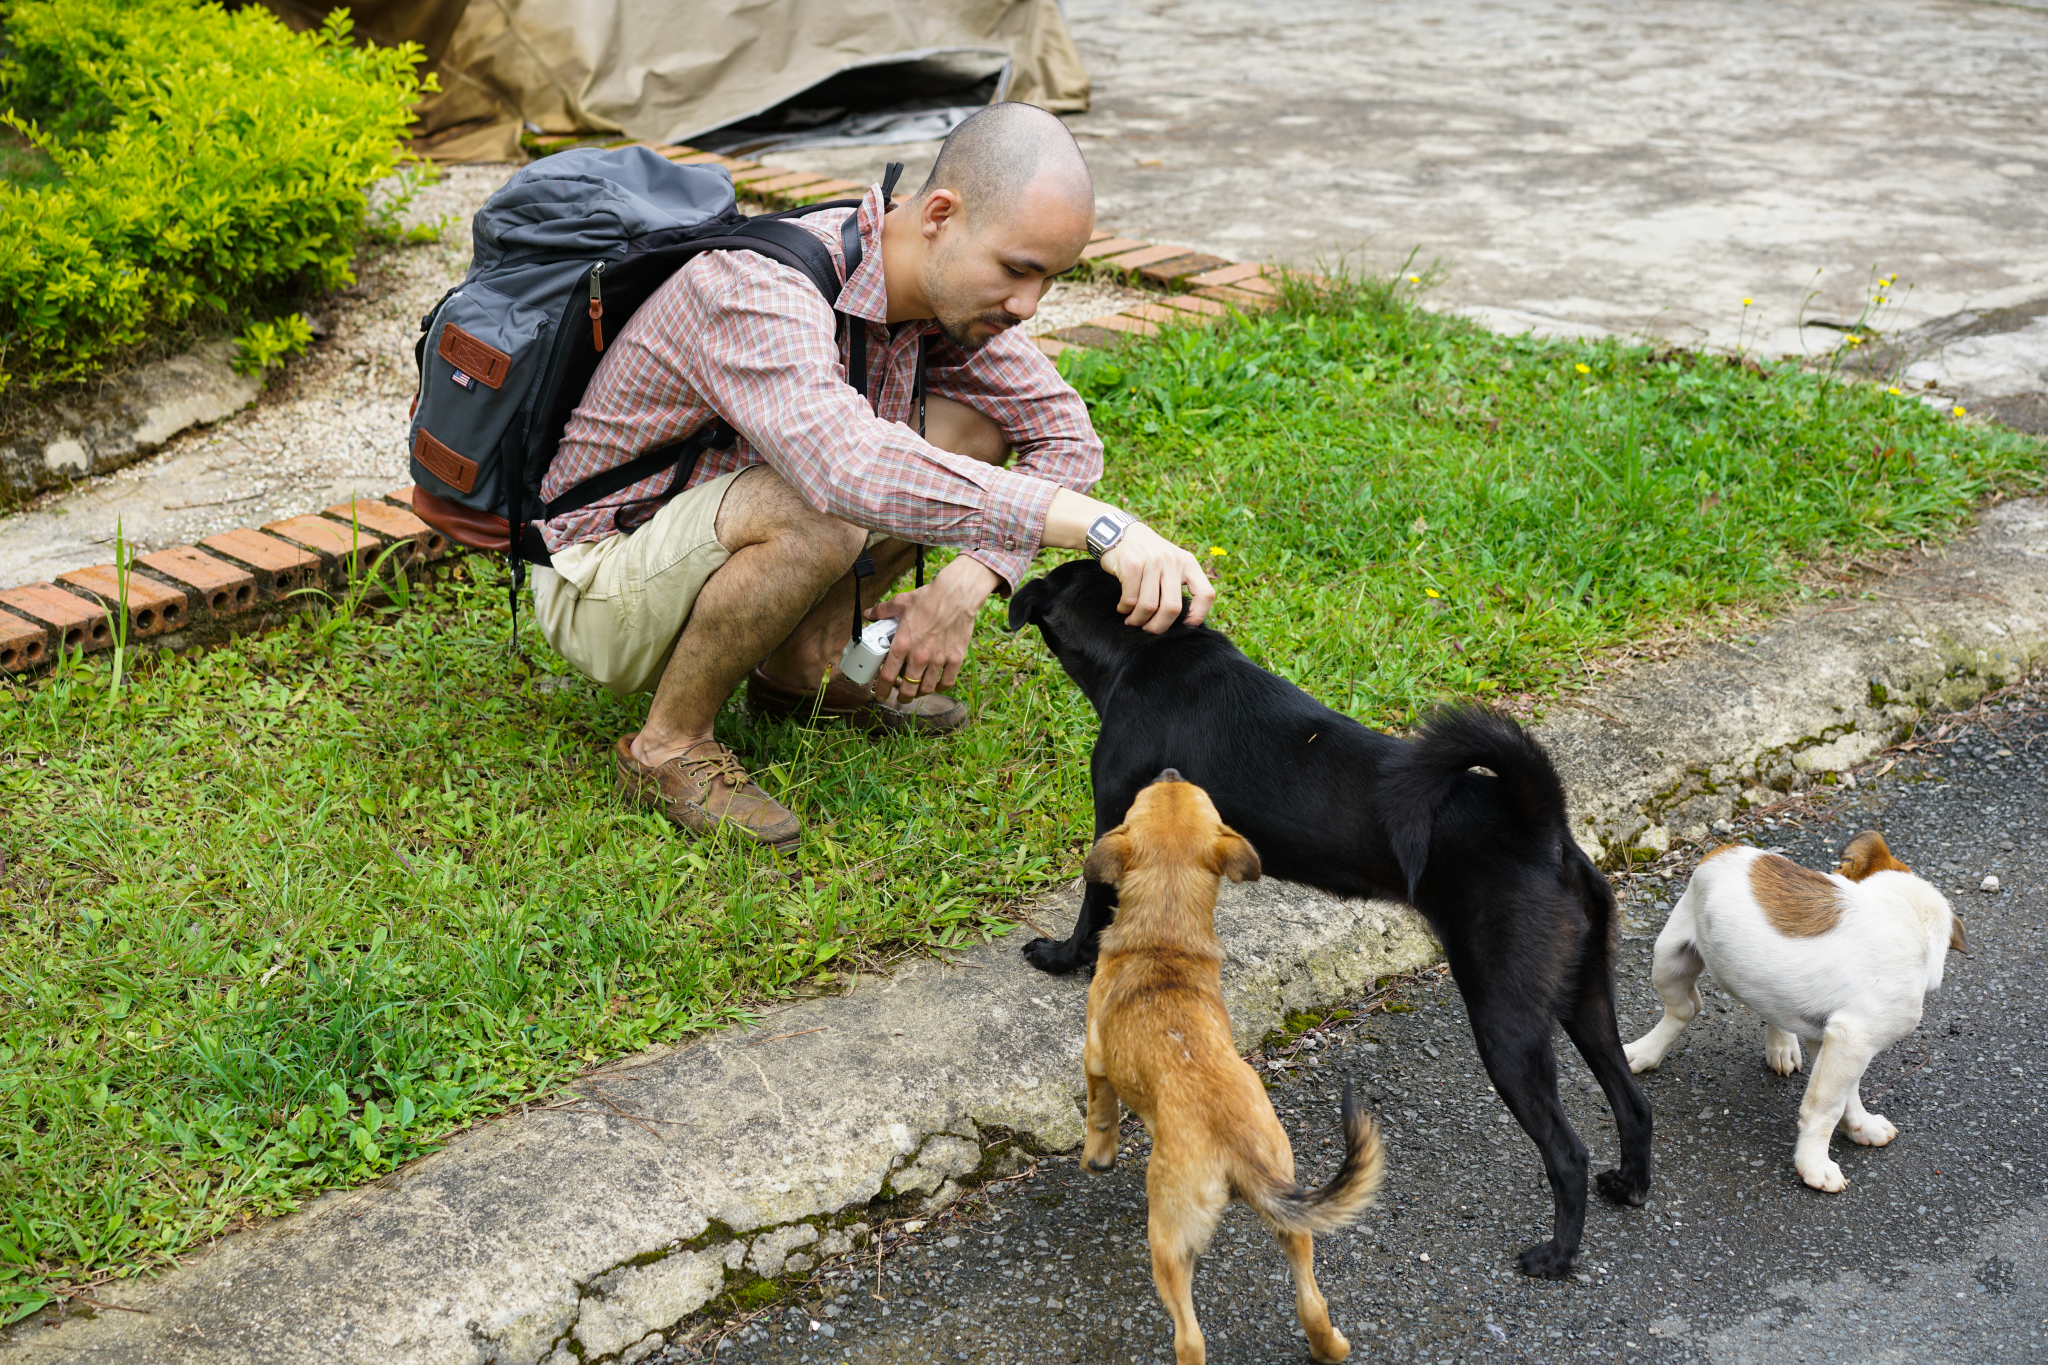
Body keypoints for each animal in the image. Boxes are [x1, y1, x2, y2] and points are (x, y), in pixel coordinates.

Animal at [1015, 556, 1654, 1285]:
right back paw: (1630, 1184)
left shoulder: (1114, 815)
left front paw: (1060, 957)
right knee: (1633, 1102)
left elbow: (1091, 909)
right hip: (1585, 994)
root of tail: (1541, 826)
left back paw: (1556, 1254)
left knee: (1566, 1150)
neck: (1146, 650)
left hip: (1507, 1021)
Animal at [1081, 773, 1384, 1358]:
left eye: (1139, 799)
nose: (1170, 770)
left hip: (1169, 1241)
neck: (1164, 938)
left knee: (1190, 1337)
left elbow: (1098, 1115)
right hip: (1292, 1215)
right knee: (1311, 1301)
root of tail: (1235, 1146)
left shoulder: (1095, 1057)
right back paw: (1331, 1348)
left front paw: (1096, 1158)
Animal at [1622, 826, 1957, 1186]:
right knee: (1683, 1009)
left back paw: (1780, 1046)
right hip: (1670, 959)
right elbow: (1827, 1106)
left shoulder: (1836, 1040)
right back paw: (1645, 1051)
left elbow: (1847, 1096)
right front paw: (1815, 1162)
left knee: (1766, 1009)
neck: (1904, 912)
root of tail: (1724, 848)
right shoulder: (1852, 1039)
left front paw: (1860, 1127)